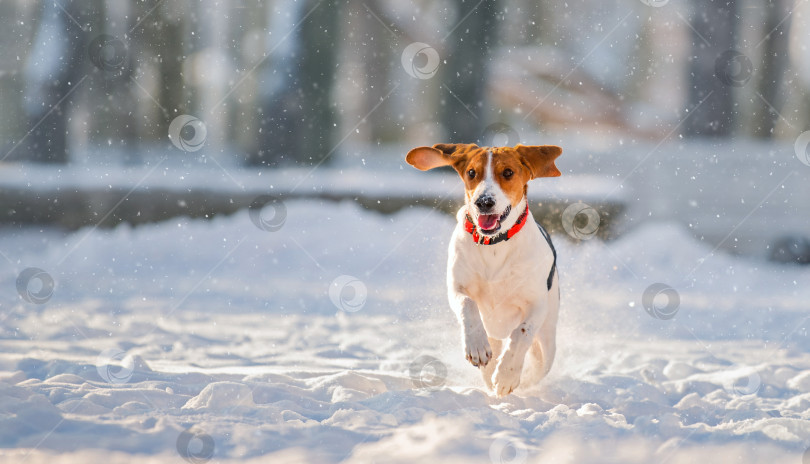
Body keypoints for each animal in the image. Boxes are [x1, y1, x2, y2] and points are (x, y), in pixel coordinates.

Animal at [408, 143, 560, 396]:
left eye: (508, 172)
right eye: (471, 173)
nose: (484, 202)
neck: (493, 244)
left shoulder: (536, 304)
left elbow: (521, 333)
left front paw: (507, 375)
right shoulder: (457, 288)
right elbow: (467, 306)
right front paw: (477, 348)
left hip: (547, 341)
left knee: (537, 363)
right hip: (495, 334)